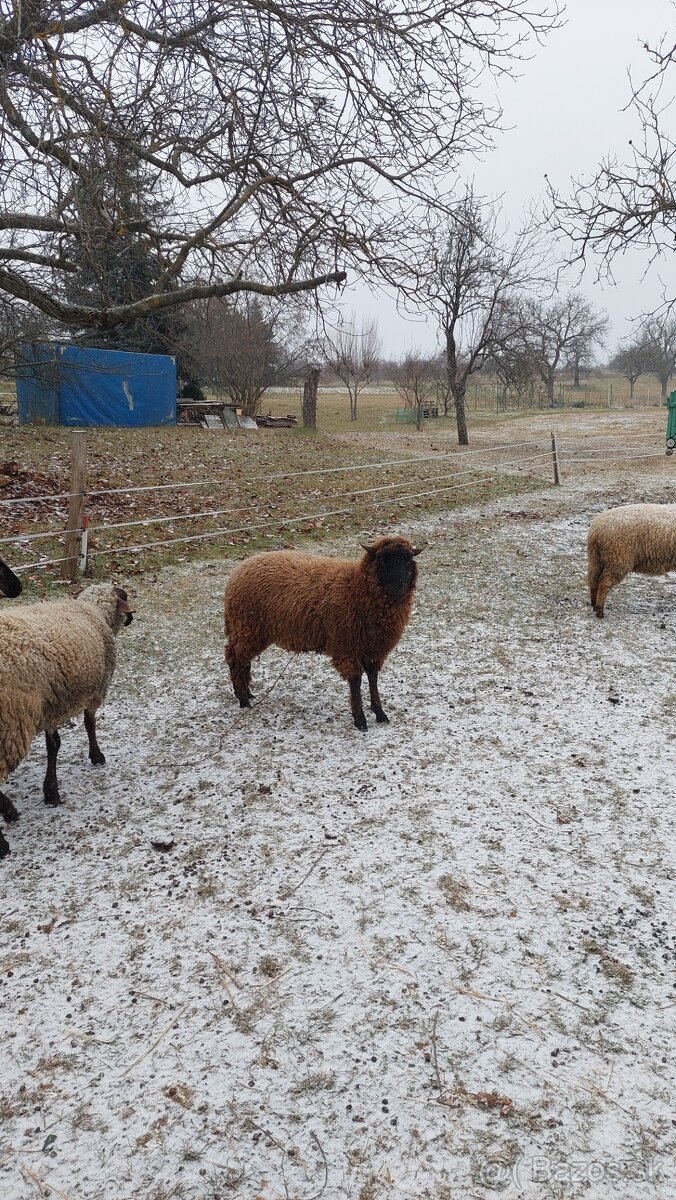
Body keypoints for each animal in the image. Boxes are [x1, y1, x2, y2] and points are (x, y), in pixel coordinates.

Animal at [0, 583, 133, 859]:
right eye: (124, 597)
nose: (131, 618)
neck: (94, 611)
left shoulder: (51, 706)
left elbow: (54, 745)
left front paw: (51, 792)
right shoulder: (95, 691)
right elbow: (90, 724)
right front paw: (96, 756)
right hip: (11, 725)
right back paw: (3, 839)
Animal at [223, 537, 422, 729]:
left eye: (407, 560)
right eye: (382, 560)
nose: (399, 586)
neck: (357, 586)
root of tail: (238, 571)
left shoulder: (374, 649)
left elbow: (373, 680)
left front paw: (380, 714)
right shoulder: (347, 647)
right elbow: (356, 682)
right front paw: (360, 720)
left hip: (250, 630)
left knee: (242, 658)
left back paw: (248, 693)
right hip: (248, 627)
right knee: (234, 657)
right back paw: (242, 698)